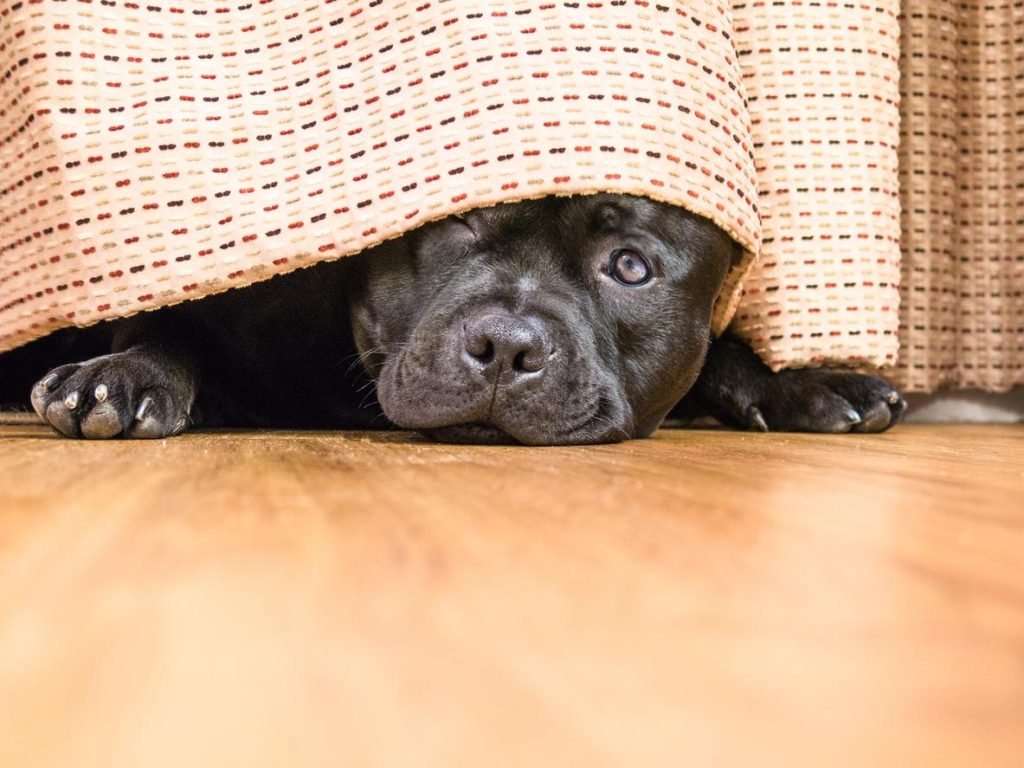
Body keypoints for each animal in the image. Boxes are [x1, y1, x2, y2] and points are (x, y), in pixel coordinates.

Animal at [8, 192, 905, 444]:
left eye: (631, 267)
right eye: (458, 221)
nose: (505, 345)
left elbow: (719, 352)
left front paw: (809, 382)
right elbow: (162, 326)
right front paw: (121, 377)